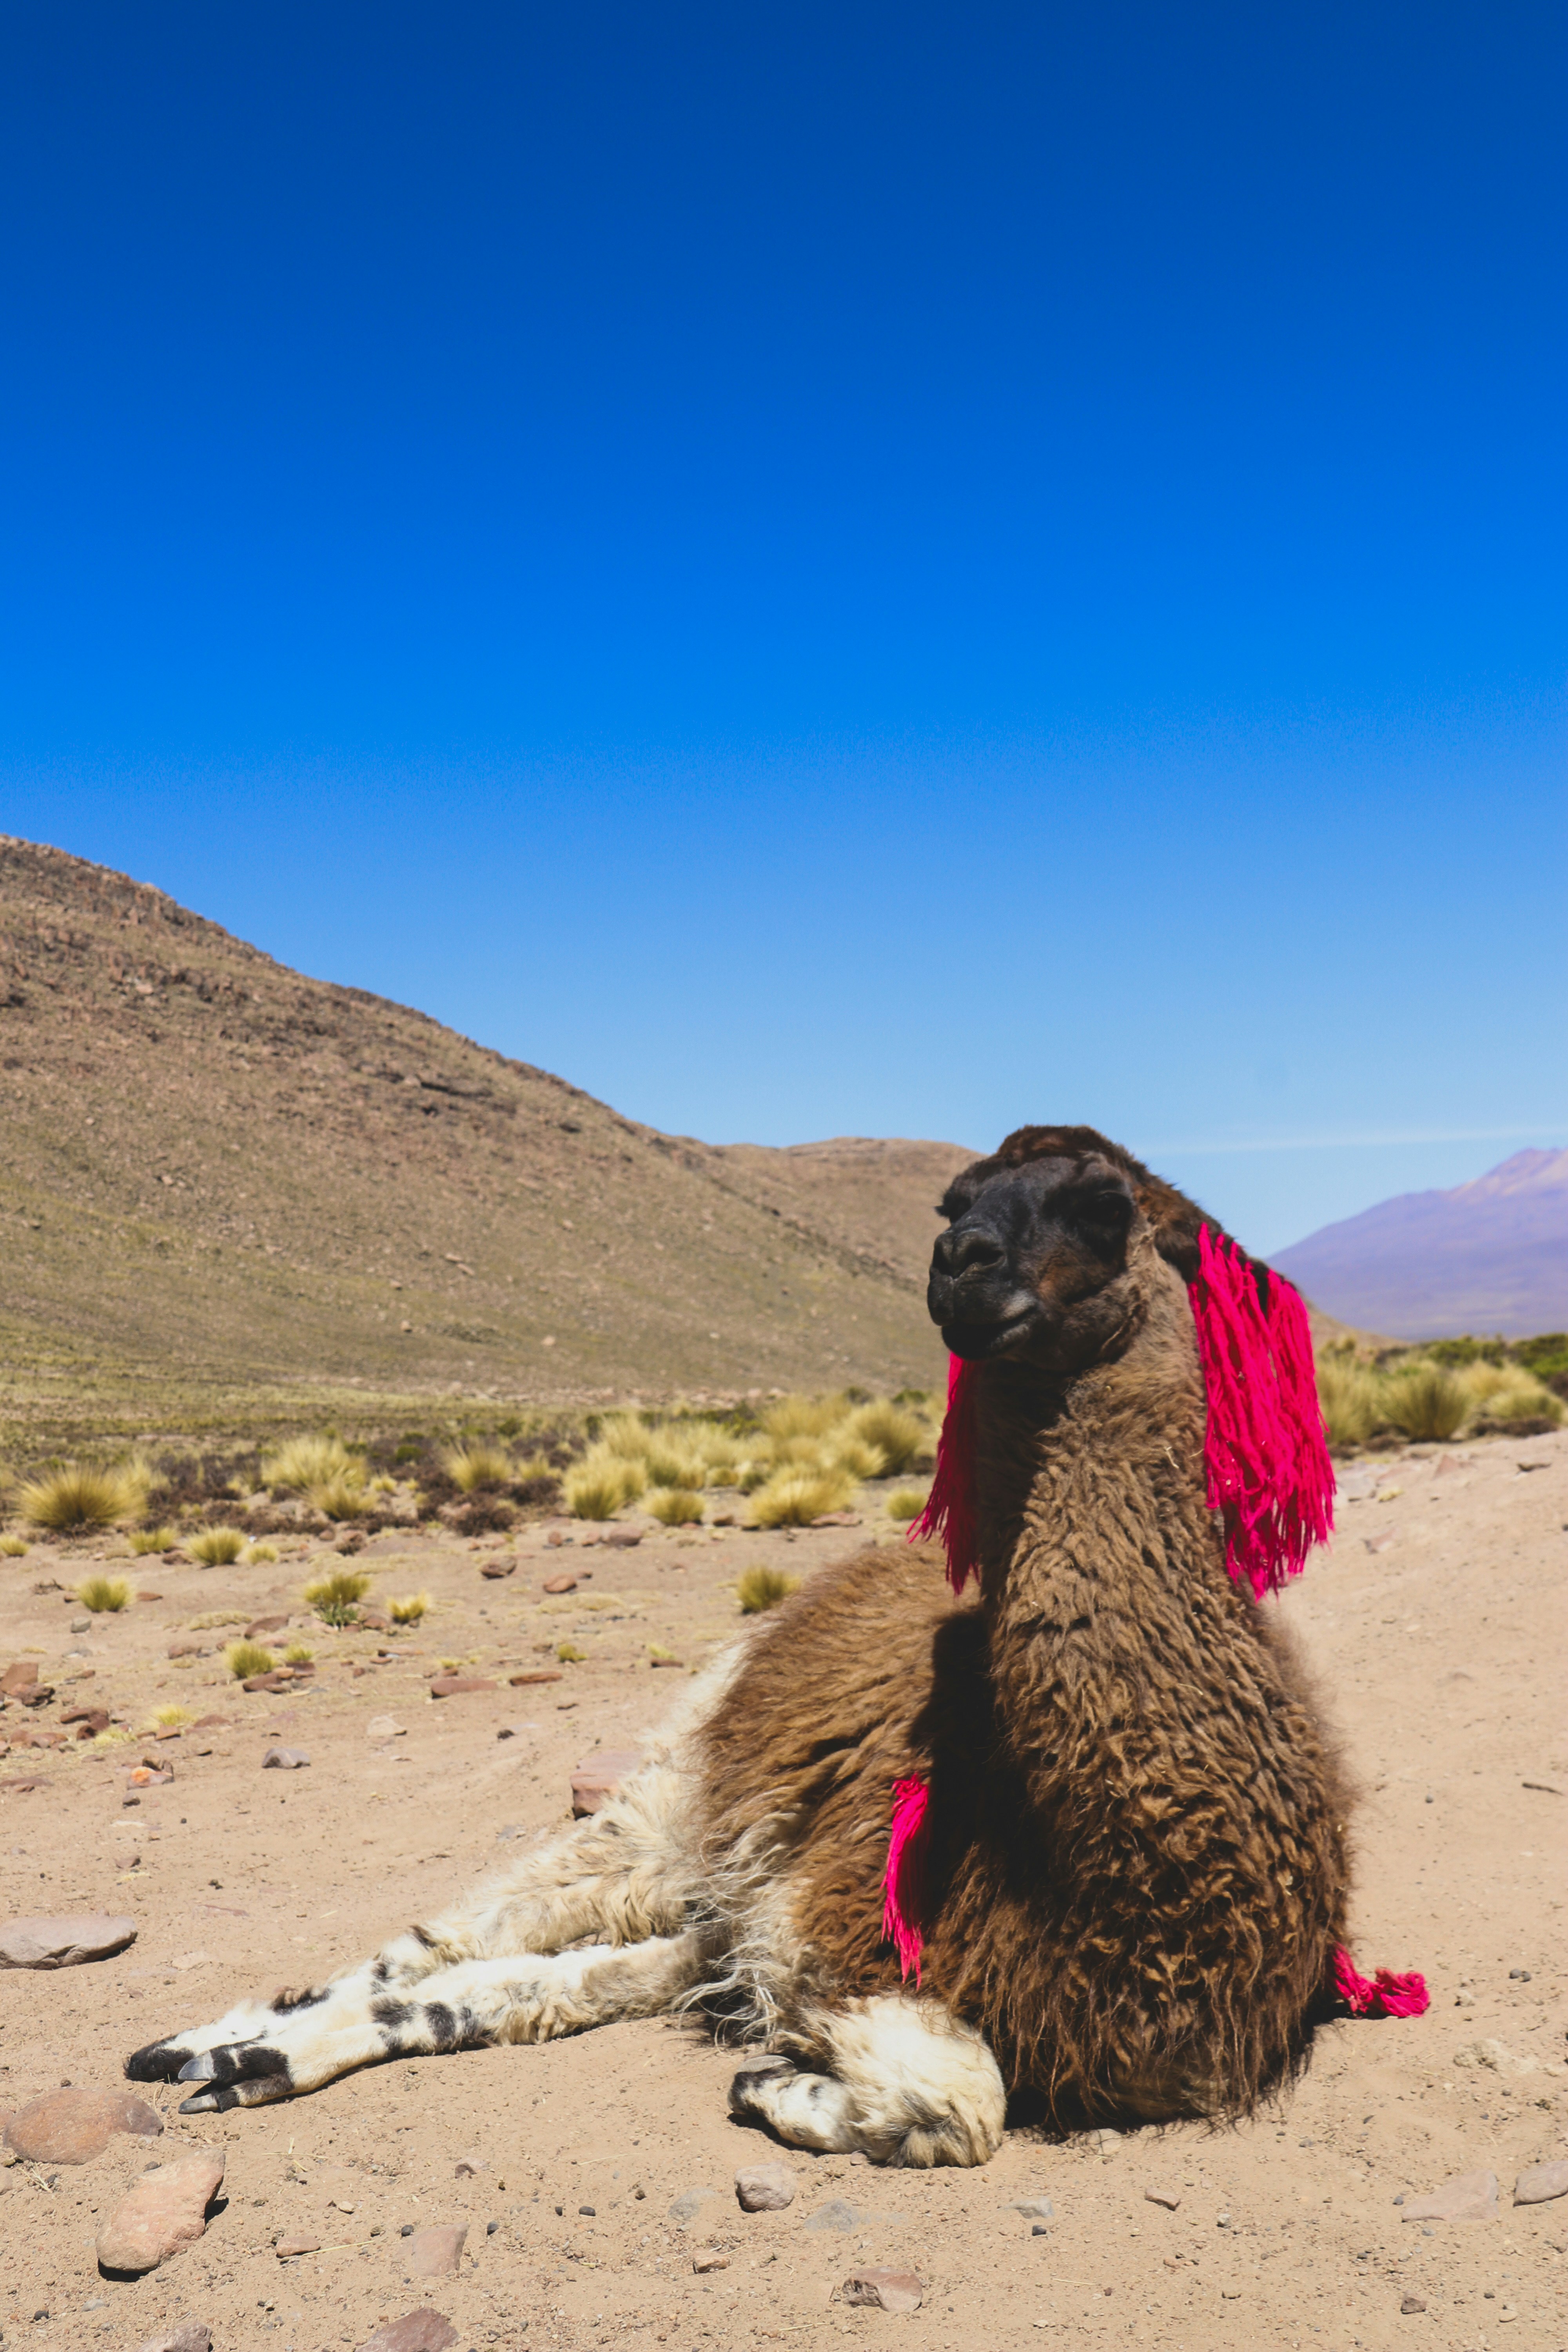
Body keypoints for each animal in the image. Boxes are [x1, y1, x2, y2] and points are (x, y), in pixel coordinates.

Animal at [127, 1124, 1415, 2167]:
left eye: (1102, 1205)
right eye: (953, 1201)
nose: (960, 1265)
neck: (1112, 1881)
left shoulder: (851, 1942)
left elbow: (955, 2092)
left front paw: (779, 2085)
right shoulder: (833, 1925)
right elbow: (971, 2097)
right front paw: (784, 2088)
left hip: (717, 1869)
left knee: (529, 1979)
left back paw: (248, 2059)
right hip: (676, 1798)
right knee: (453, 1935)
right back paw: (215, 2039)